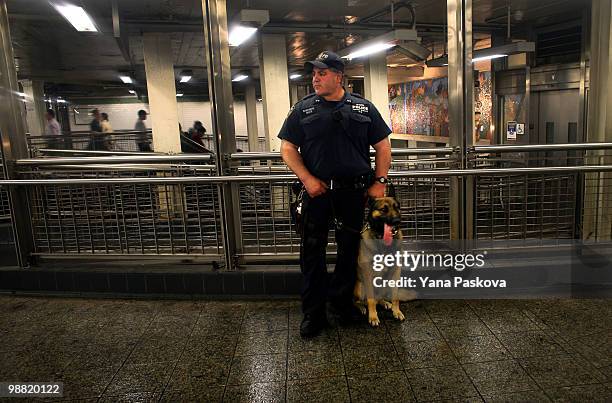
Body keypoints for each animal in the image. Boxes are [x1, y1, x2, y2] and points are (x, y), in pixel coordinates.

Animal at [354, 185, 416, 326]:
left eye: (397, 207)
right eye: (384, 209)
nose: (397, 221)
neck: (382, 241)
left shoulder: (396, 271)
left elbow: (395, 297)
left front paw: (396, 312)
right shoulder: (368, 274)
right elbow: (371, 300)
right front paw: (373, 317)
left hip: (385, 283)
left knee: (379, 298)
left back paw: (384, 303)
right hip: (360, 287)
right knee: (358, 301)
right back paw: (362, 307)